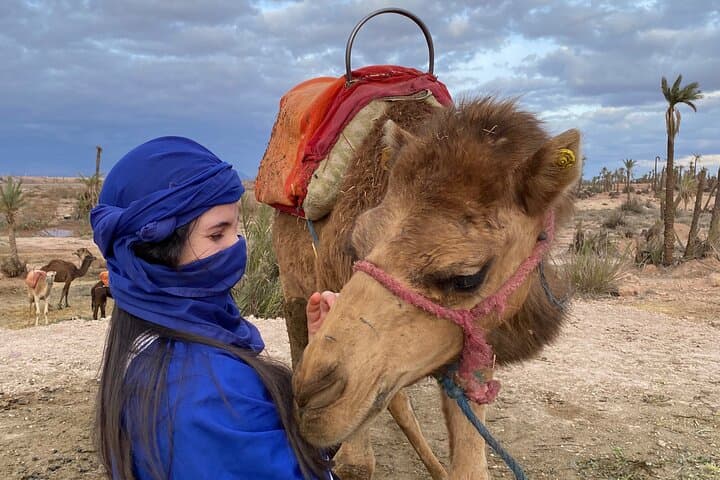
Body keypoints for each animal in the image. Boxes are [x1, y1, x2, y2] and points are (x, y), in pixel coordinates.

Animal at [274, 98, 580, 479]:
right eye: (356, 246)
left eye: (467, 277)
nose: (311, 394)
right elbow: (357, 464)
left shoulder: (471, 341)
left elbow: (469, 464)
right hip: (292, 284)